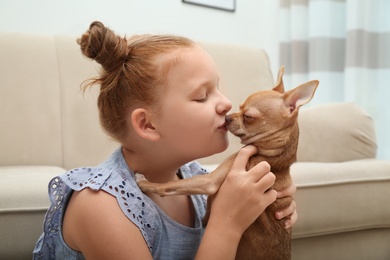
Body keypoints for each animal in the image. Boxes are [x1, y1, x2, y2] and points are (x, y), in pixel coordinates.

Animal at [136, 66, 318, 258]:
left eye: (248, 116)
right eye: (238, 108)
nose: (227, 117)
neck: (273, 157)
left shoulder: (210, 181)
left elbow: (171, 185)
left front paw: (145, 182)